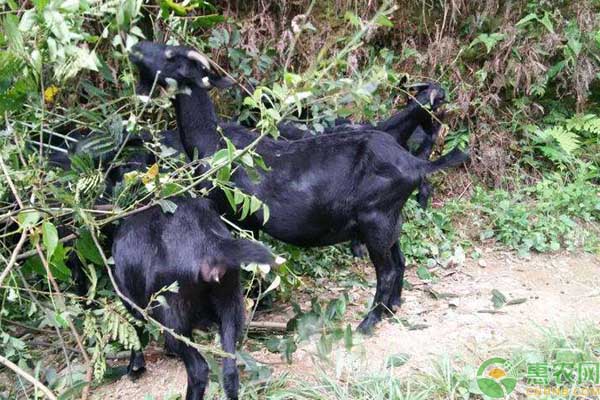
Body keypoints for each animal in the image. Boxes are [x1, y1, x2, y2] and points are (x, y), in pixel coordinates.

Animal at [112, 197, 276, 400]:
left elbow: (136, 330)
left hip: (172, 317)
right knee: (230, 370)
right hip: (230, 301)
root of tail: (208, 242)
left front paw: (135, 367)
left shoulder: (130, 300)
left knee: (198, 369)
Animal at [130, 40, 468, 334]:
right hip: (390, 219)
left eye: (170, 55)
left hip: (376, 219)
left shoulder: (239, 217)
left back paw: (368, 323)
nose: (136, 48)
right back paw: (392, 308)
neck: (214, 142)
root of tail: (414, 165)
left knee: (387, 271)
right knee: (399, 261)